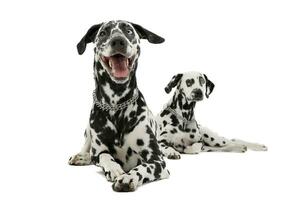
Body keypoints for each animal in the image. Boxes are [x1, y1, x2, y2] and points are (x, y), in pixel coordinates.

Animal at [67, 20, 169, 192]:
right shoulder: (99, 150)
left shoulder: (157, 161)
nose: (118, 41)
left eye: (129, 31)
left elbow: (144, 167)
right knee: (88, 149)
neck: (117, 105)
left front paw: (129, 177)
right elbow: (104, 156)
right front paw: (114, 169)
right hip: (88, 130)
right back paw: (81, 156)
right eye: (103, 33)